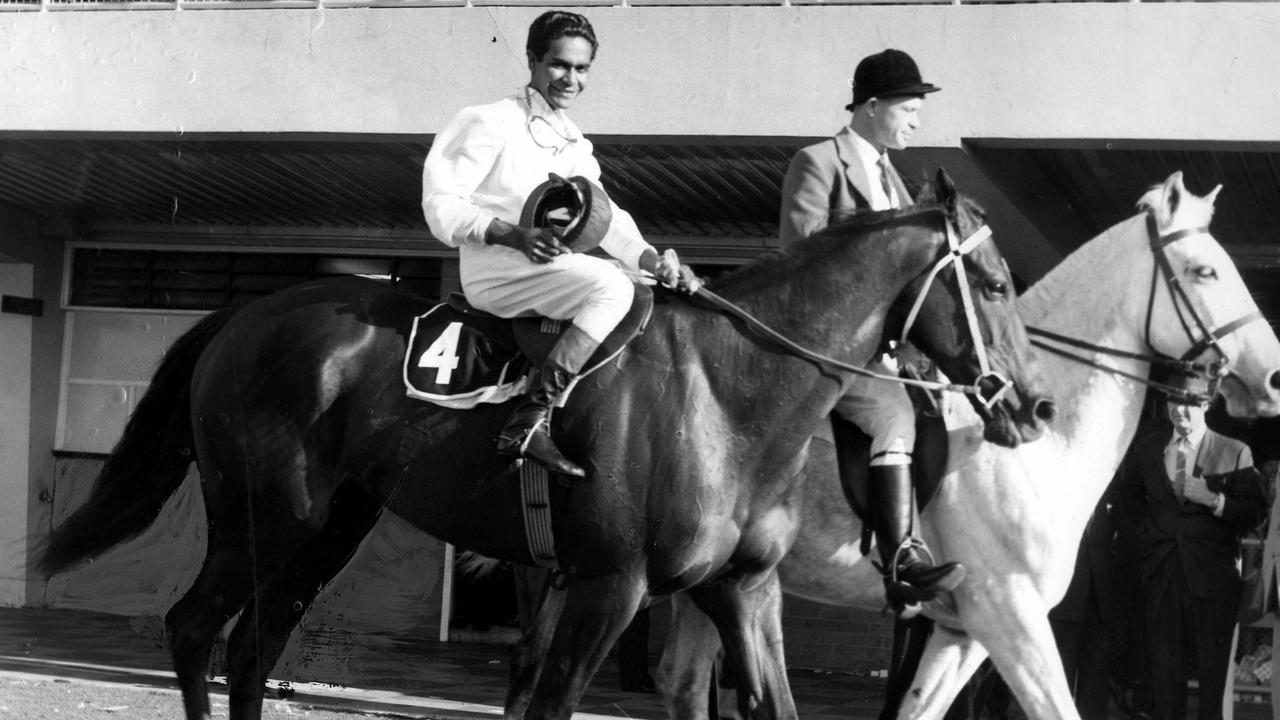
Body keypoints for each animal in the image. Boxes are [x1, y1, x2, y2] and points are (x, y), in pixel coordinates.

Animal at [40, 170, 1054, 712]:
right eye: (998, 284)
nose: (1036, 404)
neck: (727, 393)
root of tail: (248, 314)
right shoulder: (610, 585)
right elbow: (551, 701)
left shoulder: (740, 591)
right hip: (266, 517)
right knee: (194, 629)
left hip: (329, 529)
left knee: (251, 648)